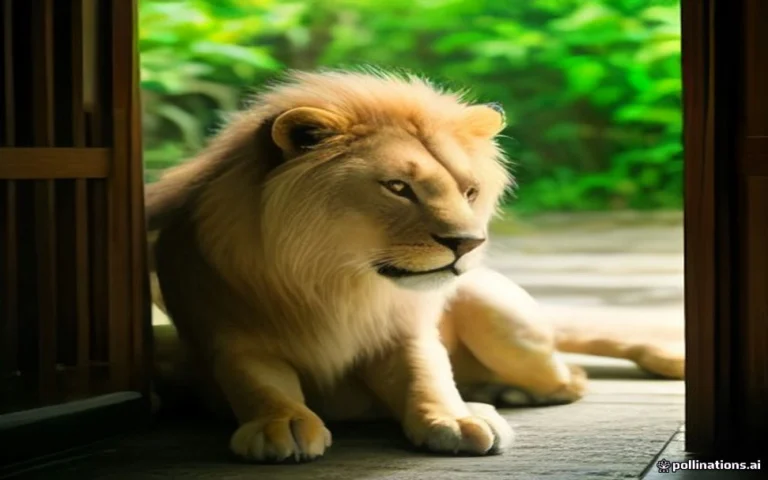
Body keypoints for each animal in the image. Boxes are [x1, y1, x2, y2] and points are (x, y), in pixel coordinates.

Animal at [146, 69, 682, 464]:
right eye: (398, 187)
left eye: (469, 191)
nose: (468, 243)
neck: (336, 283)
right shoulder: (229, 335)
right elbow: (259, 384)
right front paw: (285, 424)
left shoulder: (404, 329)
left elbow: (426, 373)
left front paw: (459, 417)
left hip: (500, 319)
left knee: (570, 377)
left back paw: (505, 394)